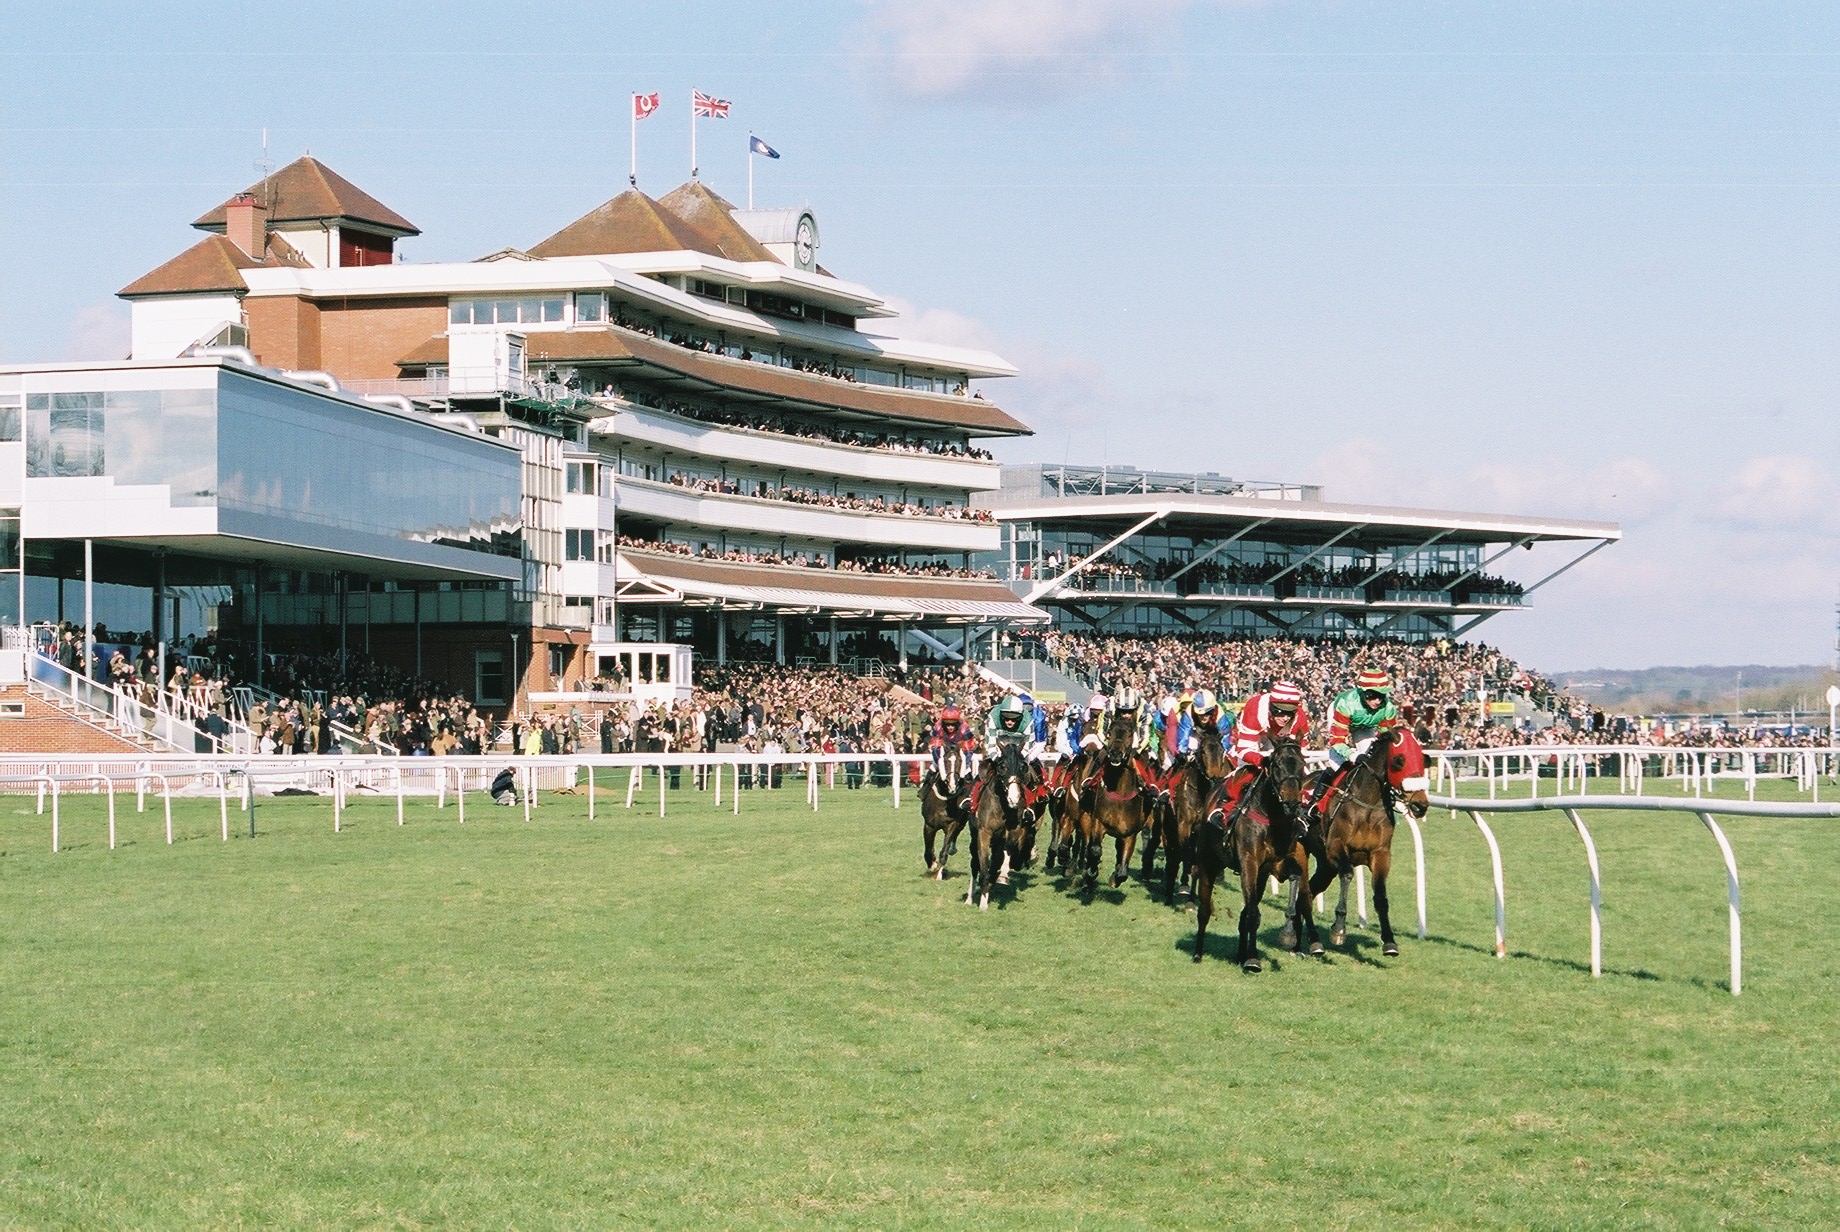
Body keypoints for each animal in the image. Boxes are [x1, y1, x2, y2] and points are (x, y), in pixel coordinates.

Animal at [920, 746, 978, 882]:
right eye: (945, 762)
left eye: (960, 762)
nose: (952, 785)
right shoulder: (929, 825)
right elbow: (928, 850)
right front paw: (932, 865)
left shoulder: (953, 824)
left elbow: (944, 851)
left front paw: (939, 874)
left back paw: (952, 849)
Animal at [1074, 706, 1155, 897]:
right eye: (1110, 732)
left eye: (1130, 734)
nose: (1116, 754)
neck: (1120, 792)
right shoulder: (1098, 822)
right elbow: (1095, 850)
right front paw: (1090, 874)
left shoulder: (1130, 832)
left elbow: (1124, 870)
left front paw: (1114, 878)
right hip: (1086, 818)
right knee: (1088, 846)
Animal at [1184, 735, 1317, 978]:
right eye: (1277, 766)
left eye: (1302, 764)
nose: (1293, 803)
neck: (1271, 817)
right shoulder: (1249, 862)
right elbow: (1253, 913)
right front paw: (1254, 959)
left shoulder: (1277, 863)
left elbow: (1296, 881)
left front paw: (1288, 933)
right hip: (1208, 864)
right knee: (1205, 910)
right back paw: (1198, 953)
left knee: (1245, 911)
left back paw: (1240, 954)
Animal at [1302, 728, 1427, 963]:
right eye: (1399, 761)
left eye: (1424, 759)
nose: (1420, 805)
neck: (1368, 804)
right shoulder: (1336, 848)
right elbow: (1348, 874)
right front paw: (1338, 928)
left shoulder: (1381, 854)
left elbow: (1381, 896)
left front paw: (1389, 941)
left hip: (1325, 866)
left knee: (1309, 891)